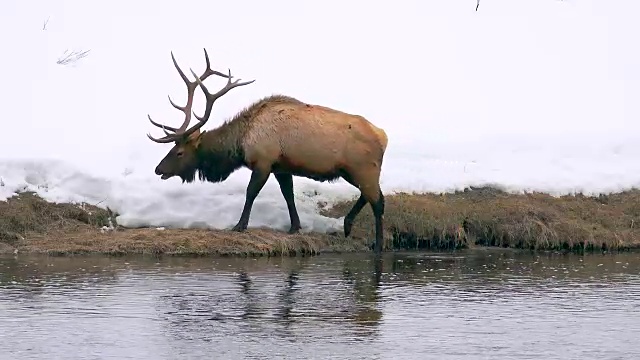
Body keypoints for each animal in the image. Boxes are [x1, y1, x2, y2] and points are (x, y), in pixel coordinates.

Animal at [148, 48, 388, 253]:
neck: (241, 142)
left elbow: (250, 192)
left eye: (179, 152)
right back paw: (347, 225)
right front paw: (294, 227)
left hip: (364, 168)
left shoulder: (263, 162)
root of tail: (383, 137)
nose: (158, 169)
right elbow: (288, 195)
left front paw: (239, 225)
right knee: (369, 195)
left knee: (378, 202)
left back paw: (377, 245)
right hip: (351, 171)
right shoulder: (281, 167)